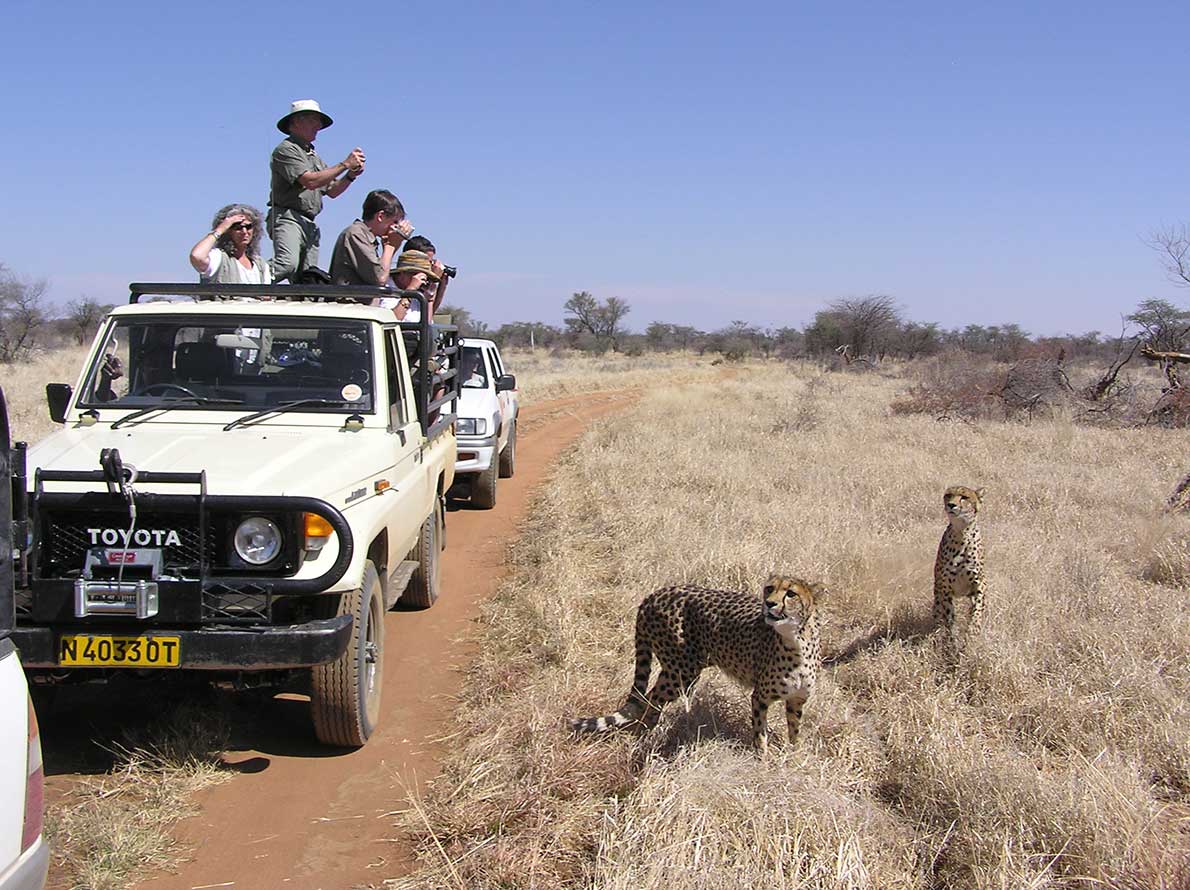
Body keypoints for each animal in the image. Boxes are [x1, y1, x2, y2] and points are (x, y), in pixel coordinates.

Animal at [570, 574, 824, 754]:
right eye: (770, 588)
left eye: (790, 593)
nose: (769, 604)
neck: (797, 640)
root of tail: (655, 594)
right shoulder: (760, 697)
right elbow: (760, 731)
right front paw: (763, 759)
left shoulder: (796, 699)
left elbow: (794, 730)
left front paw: (795, 756)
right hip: (682, 672)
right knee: (650, 698)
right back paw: (647, 734)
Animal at [932, 485, 986, 659]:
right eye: (948, 495)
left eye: (964, 497)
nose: (951, 505)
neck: (962, 532)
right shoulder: (946, 589)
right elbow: (949, 618)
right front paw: (952, 641)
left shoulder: (979, 584)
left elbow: (977, 612)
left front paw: (972, 632)